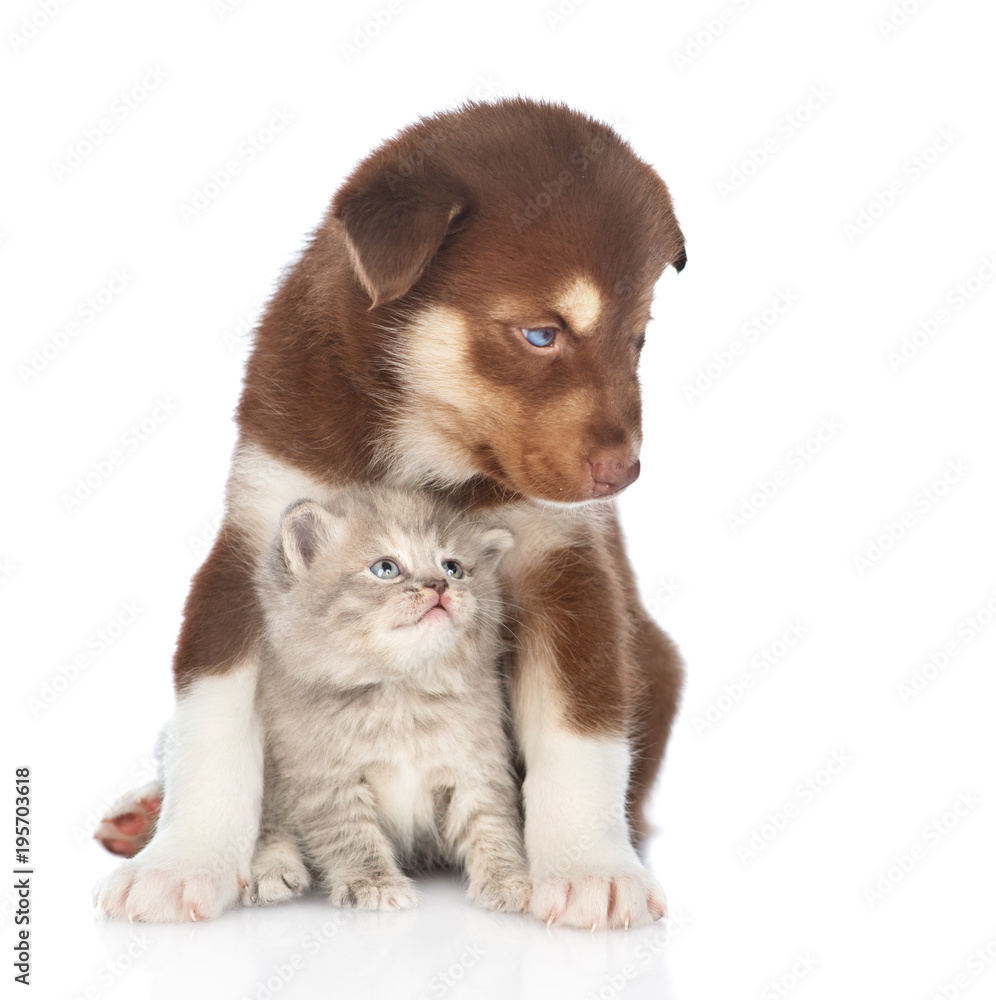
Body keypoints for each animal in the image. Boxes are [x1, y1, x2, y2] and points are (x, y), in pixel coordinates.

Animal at [240, 486, 528, 916]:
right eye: (386, 569)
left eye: (454, 568)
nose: (439, 586)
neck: (401, 694)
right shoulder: (322, 777)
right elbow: (351, 836)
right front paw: (372, 884)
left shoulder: (477, 768)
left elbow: (492, 825)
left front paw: (508, 880)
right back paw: (270, 871)